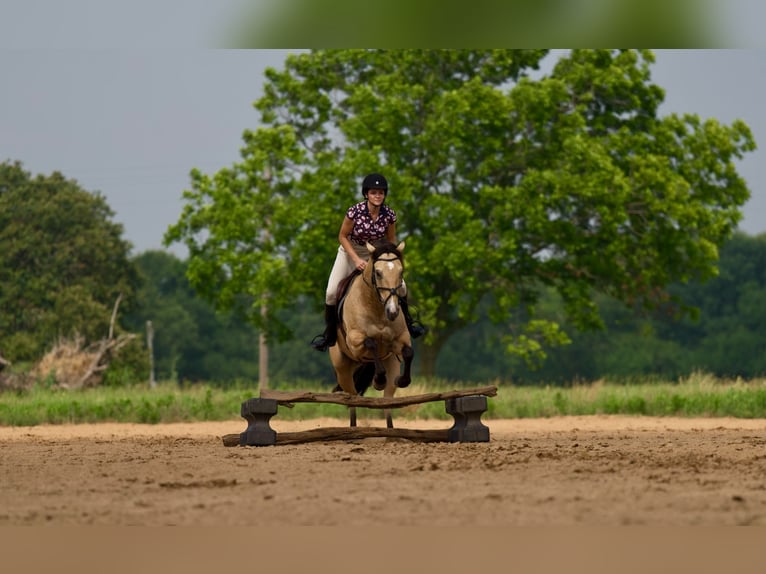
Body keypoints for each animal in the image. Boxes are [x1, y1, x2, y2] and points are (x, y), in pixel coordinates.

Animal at [328, 241, 414, 430]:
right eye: (378, 273)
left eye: (401, 272)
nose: (393, 312)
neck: (376, 307)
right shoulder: (355, 341)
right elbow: (371, 343)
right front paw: (378, 380)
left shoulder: (399, 340)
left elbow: (408, 352)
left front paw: (402, 380)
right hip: (343, 369)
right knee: (352, 398)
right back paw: (352, 428)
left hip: (391, 364)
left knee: (387, 401)